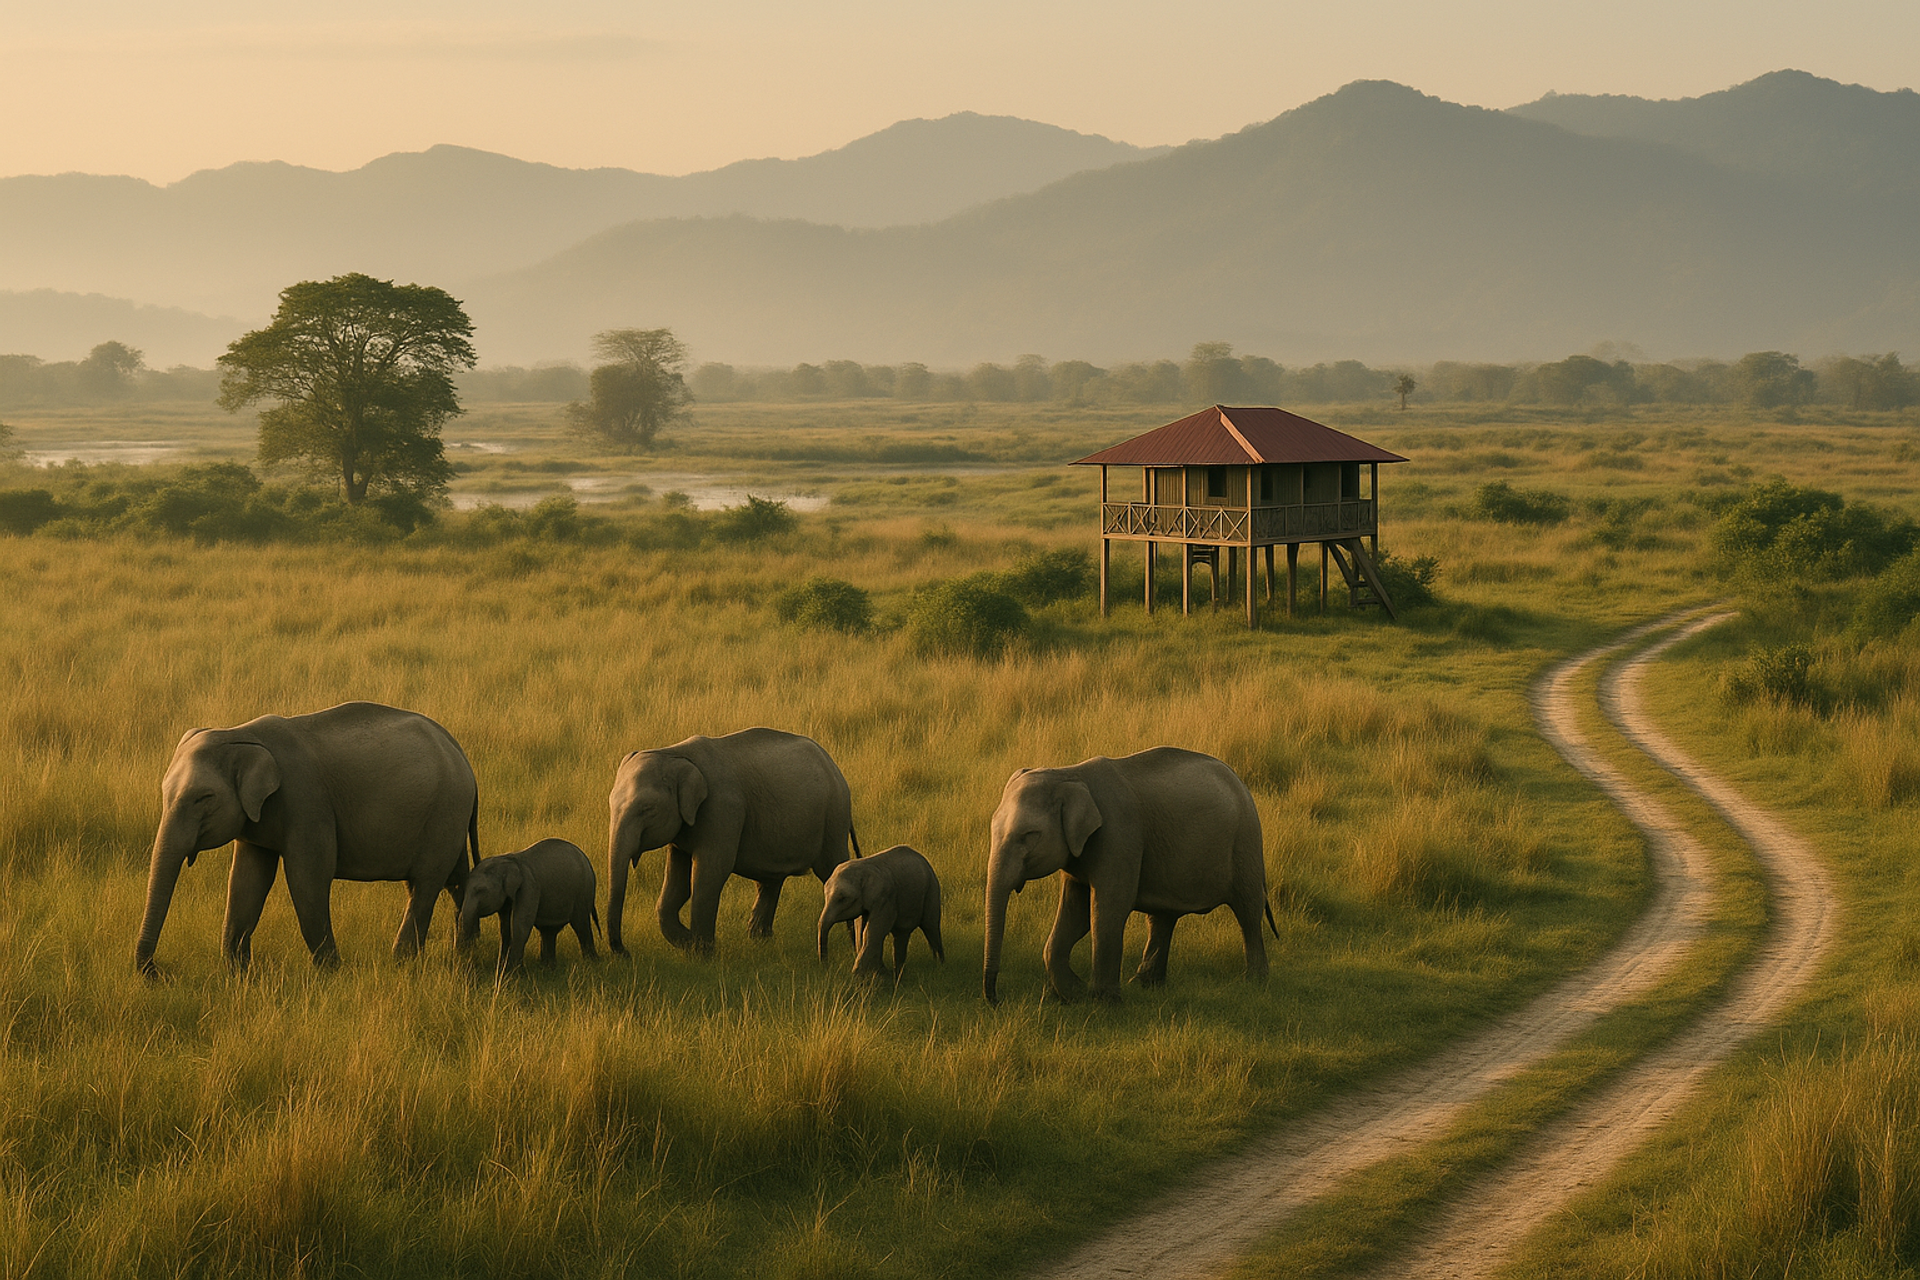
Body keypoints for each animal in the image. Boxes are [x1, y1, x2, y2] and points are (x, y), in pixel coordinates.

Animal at [135, 701, 479, 975]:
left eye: (203, 798)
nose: (154, 972)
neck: (241, 735)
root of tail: (460, 752)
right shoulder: (258, 818)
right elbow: (248, 879)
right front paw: (238, 972)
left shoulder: (306, 800)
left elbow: (307, 877)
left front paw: (331, 972)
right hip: (446, 817)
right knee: (455, 879)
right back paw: (465, 952)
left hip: (445, 812)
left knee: (427, 884)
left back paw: (402, 962)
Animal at [458, 838, 599, 974]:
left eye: (480, 890)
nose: (468, 957)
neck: (507, 860)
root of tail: (587, 861)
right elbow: (505, 927)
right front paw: (502, 967)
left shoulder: (529, 887)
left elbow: (521, 925)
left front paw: (513, 972)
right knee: (549, 930)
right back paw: (548, 968)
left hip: (583, 891)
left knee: (581, 925)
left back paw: (592, 963)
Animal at [606, 727, 858, 956]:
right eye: (610, 805)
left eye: (647, 809)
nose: (625, 953)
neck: (674, 753)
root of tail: (833, 765)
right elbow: (677, 884)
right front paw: (689, 944)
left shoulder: (723, 810)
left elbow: (710, 874)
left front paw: (702, 953)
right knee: (769, 881)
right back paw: (760, 943)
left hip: (833, 817)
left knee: (831, 869)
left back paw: (853, 944)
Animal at [818, 844, 945, 979]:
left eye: (843, 898)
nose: (826, 967)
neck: (864, 870)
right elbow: (861, 930)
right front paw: (876, 974)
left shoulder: (885, 898)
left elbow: (873, 931)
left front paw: (857, 977)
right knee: (902, 935)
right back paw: (898, 976)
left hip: (932, 890)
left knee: (931, 927)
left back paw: (939, 965)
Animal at [981, 747, 1276, 1004]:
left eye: (1030, 835)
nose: (996, 1000)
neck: (1070, 773)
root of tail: (1241, 783)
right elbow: (1076, 912)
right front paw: (1069, 996)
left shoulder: (1119, 836)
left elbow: (1107, 908)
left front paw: (1102, 1002)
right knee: (1161, 917)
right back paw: (1144, 984)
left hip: (1245, 843)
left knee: (1248, 912)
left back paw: (1255, 982)